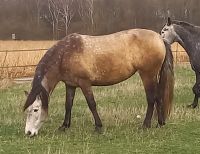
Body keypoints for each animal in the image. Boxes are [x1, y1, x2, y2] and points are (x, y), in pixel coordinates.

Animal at [23, 28, 173, 137]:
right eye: (27, 110)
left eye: (36, 109)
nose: (28, 133)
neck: (65, 54)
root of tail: (160, 38)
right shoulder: (70, 85)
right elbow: (68, 105)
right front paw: (64, 126)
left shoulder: (84, 83)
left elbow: (92, 104)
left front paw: (98, 126)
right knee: (158, 97)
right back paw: (160, 123)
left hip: (147, 75)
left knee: (151, 99)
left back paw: (146, 125)